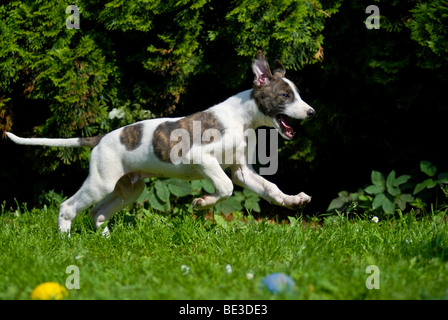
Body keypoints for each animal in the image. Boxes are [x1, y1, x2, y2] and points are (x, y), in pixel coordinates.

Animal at [7, 50, 316, 235]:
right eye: (285, 96)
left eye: (297, 94)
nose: (312, 112)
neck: (242, 119)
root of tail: (101, 138)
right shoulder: (201, 157)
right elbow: (225, 187)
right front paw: (202, 203)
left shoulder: (242, 171)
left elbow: (268, 188)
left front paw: (293, 200)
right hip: (101, 182)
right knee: (68, 207)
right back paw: (67, 242)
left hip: (128, 188)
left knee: (98, 211)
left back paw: (105, 238)